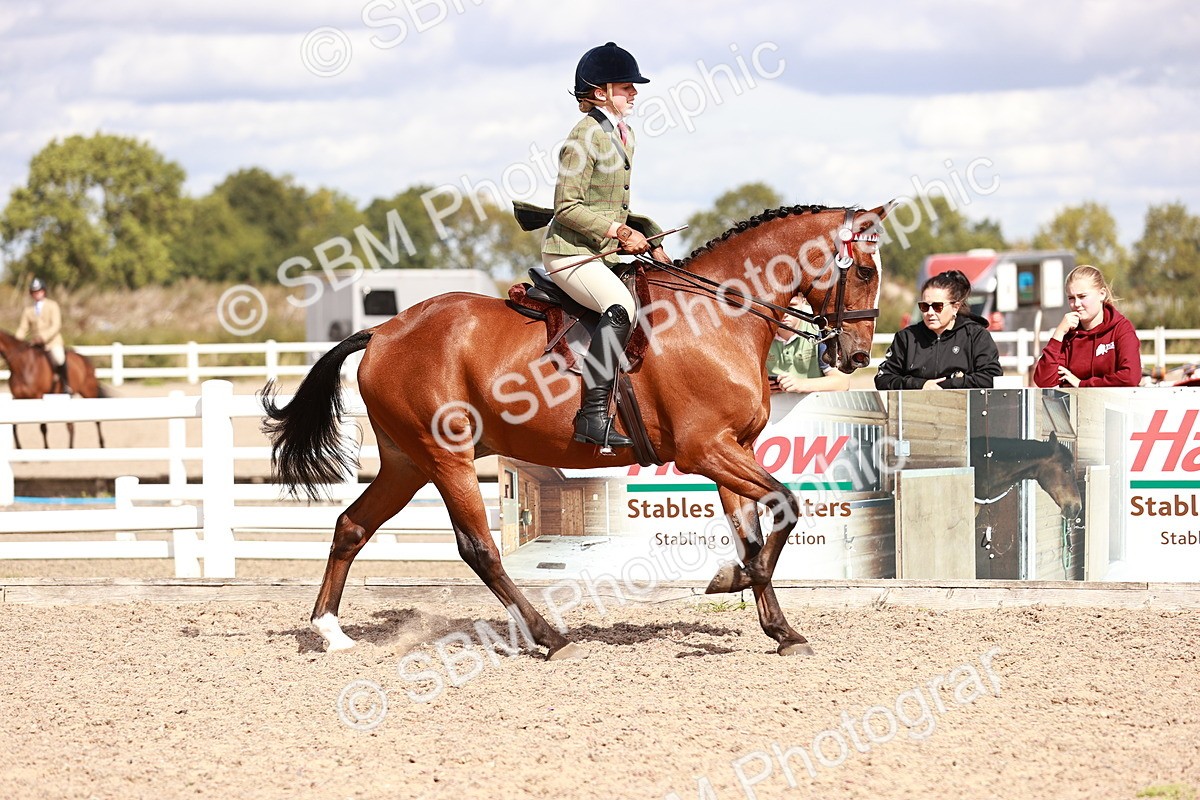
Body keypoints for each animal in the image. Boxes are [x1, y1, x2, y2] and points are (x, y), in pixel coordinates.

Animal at [262, 202, 894, 659]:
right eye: (864, 271)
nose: (856, 355)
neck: (720, 316)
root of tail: (384, 332)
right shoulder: (705, 450)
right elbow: (785, 506)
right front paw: (737, 583)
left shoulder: (733, 449)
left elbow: (754, 534)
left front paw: (775, 624)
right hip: (446, 458)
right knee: (479, 549)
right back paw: (549, 638)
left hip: (406, 462)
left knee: (351, 526)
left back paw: (331, 632)